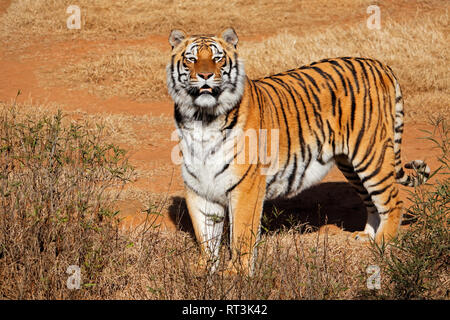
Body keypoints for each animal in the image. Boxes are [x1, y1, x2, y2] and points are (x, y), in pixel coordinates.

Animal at [165, 28, 428, 276]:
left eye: (217, 58)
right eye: (191, 59)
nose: (205, 76)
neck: (202, 118)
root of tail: (380, 64)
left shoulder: (246, 187)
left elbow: (241, 235)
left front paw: (235, 274)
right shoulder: (199, 188)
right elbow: (205, 237)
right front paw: (202, 271)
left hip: (371, 154)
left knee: (393, 202)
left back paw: (381, 244)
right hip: (351, 164)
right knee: (372, 202)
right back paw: (367, 237)